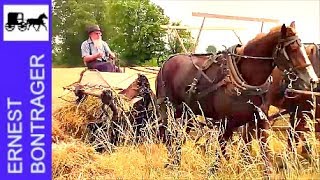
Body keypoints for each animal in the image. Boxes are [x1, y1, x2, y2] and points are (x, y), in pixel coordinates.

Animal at [155, 21, 318, 174]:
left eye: (303, 47)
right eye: (293, 48)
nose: (313, 79)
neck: (246, 78)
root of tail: (167, 62)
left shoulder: (260, 120)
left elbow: (265, 153)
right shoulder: (226, 122)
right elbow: (219, 153)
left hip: (187, 113)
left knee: (179, 137)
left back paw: (175, 162)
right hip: (167, 109)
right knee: (168, 135)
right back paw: (171, 163)